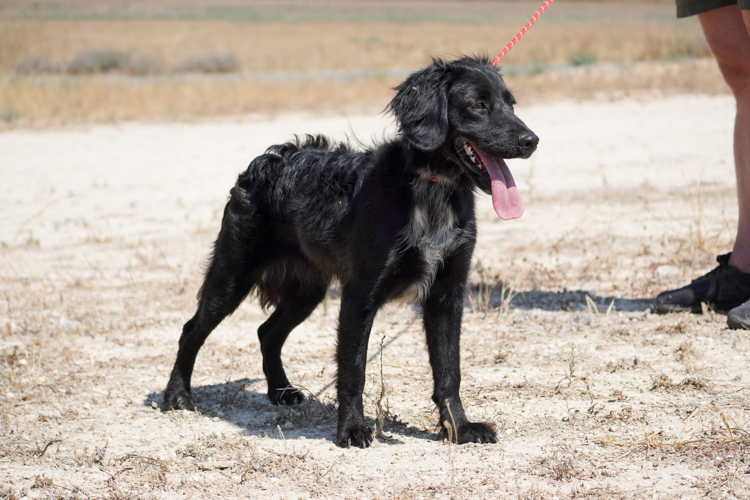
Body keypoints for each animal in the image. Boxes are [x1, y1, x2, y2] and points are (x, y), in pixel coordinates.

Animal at [165, 56, 540, 448]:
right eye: (478, 106)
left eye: (511, 104)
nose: (532, 141)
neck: (433, 188)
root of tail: (264, 160)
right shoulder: (360, 293)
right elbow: (353, 369)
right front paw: (351, 429)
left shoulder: (447, 293)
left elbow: (449, 370)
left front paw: (459, 427)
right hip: (232, 275)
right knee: (192, 329)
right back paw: (177, 395)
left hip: (307, 291)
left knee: (267, 332)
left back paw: (280, 390)